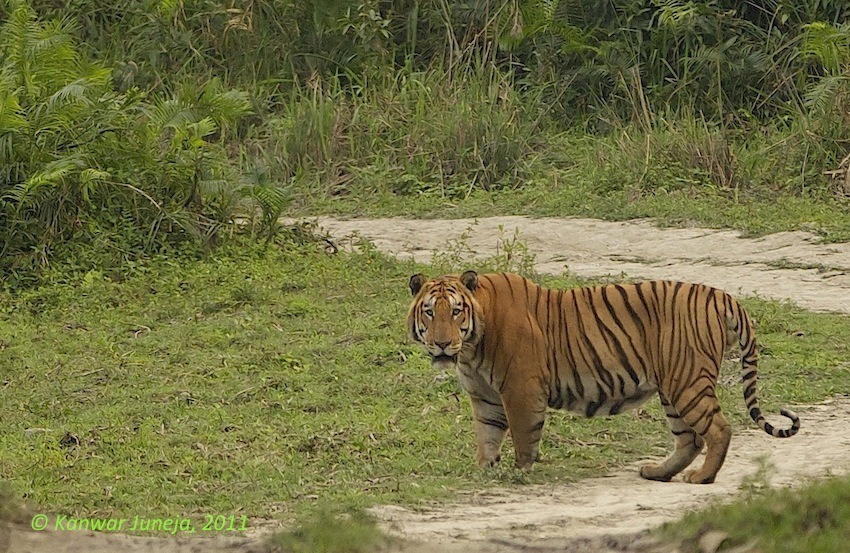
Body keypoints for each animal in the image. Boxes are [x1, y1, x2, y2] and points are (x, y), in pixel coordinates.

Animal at [408, 270, 800, 484]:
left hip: (688, 381)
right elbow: (487, 436)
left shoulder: (521, 389)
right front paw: (485, 471)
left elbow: (521, 435)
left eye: (455, 311)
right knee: (689, 439)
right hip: (674, 387)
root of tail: (724, 296)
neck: (472, 347)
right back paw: (658, 472)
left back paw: (702, 477)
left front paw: (519, 472)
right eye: (429, 312)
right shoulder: (485, 396)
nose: (442, 343)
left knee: (718, 429)